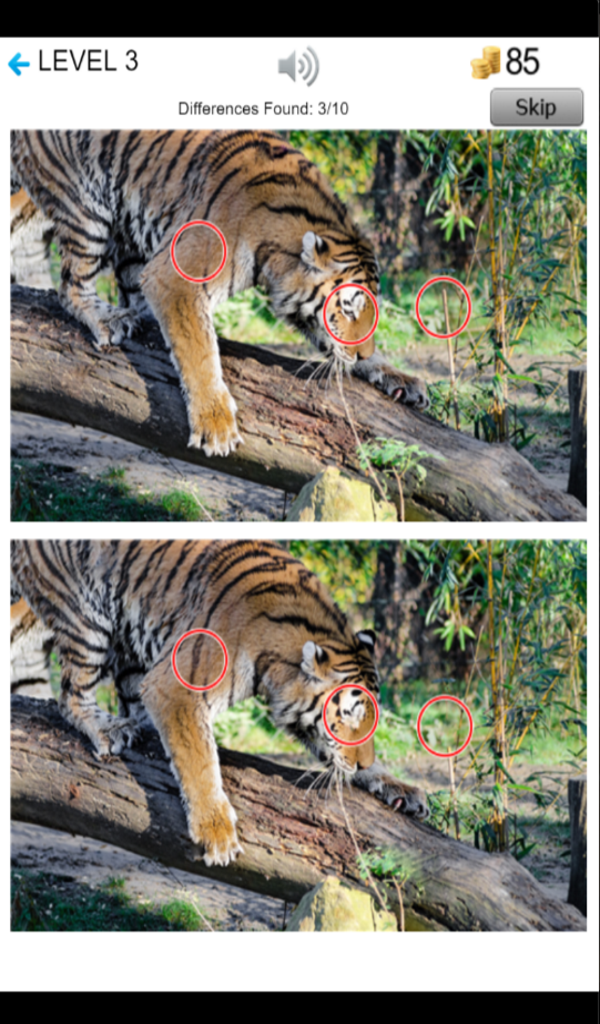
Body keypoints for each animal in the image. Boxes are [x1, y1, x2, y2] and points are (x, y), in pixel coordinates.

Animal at [10, 130, 429, 457]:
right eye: (347, 309)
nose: (364, 354)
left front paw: (398, 376)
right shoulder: (175, 275)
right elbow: (198, 350)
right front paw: (216, 423)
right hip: (86, 208)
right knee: (70, 286)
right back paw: (108, 318)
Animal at [11, 539, 429, 867]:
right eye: (347, 716)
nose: (365, 763)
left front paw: (398, 786)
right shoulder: (176, 686)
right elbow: (199, 760)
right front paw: (217, 831)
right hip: (86, 619)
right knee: (70, 696)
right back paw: (108, 728)